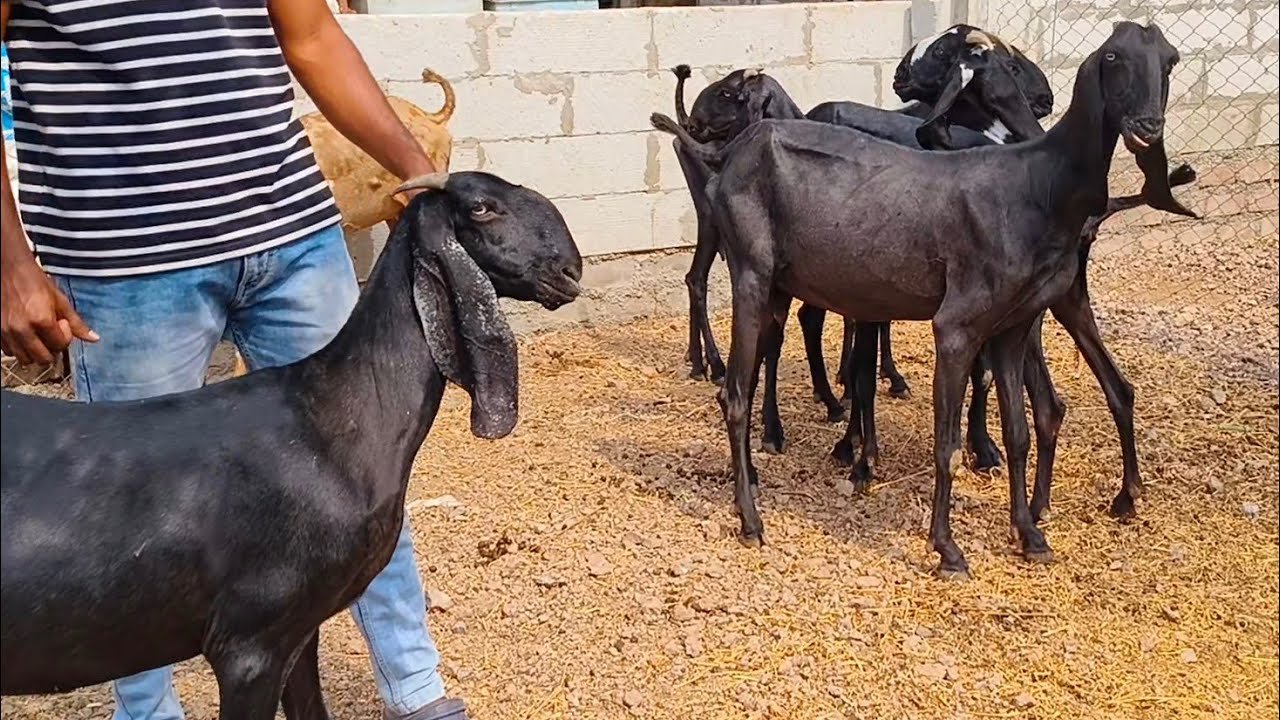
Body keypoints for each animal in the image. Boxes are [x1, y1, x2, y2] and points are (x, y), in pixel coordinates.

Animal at [652, 21, 1194, 577]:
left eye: (1170, 59)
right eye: (1112, 57)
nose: (1148, 126)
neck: (1037, 183)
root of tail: (730, 153)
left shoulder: (1011, 326)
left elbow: (1019, 432)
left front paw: (1029, 534)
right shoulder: (957, 326)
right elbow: (945, 442)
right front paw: (947, 547)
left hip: (781, 285)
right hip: (751, 273)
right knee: (735, 390)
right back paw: (751, 519)